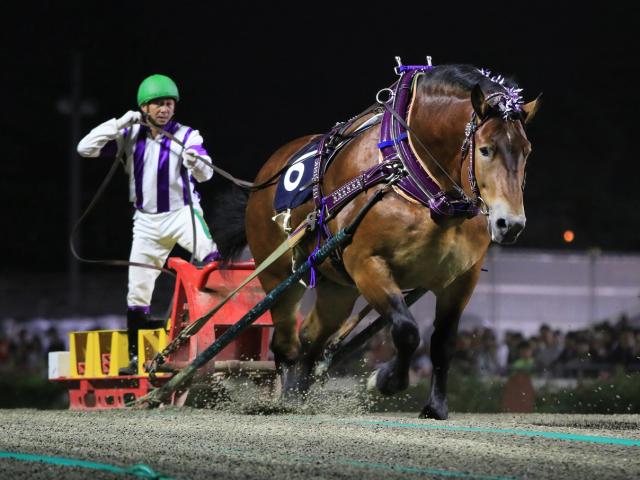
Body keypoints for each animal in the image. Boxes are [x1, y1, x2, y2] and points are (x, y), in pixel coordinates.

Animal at [216, 64, 540, 420]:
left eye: (526, 151)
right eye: (485, 149)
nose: (510, 224)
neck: (414, 177)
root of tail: (265, 178)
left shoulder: (461, 279)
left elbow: (443, 342)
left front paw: (436, 406)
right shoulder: (367, 265)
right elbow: (406, 329)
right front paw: (385, 379)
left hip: (337, 288)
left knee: (311, 338)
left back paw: (299, 395)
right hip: (280, 277)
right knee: (286, 341)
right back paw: (284, 399)